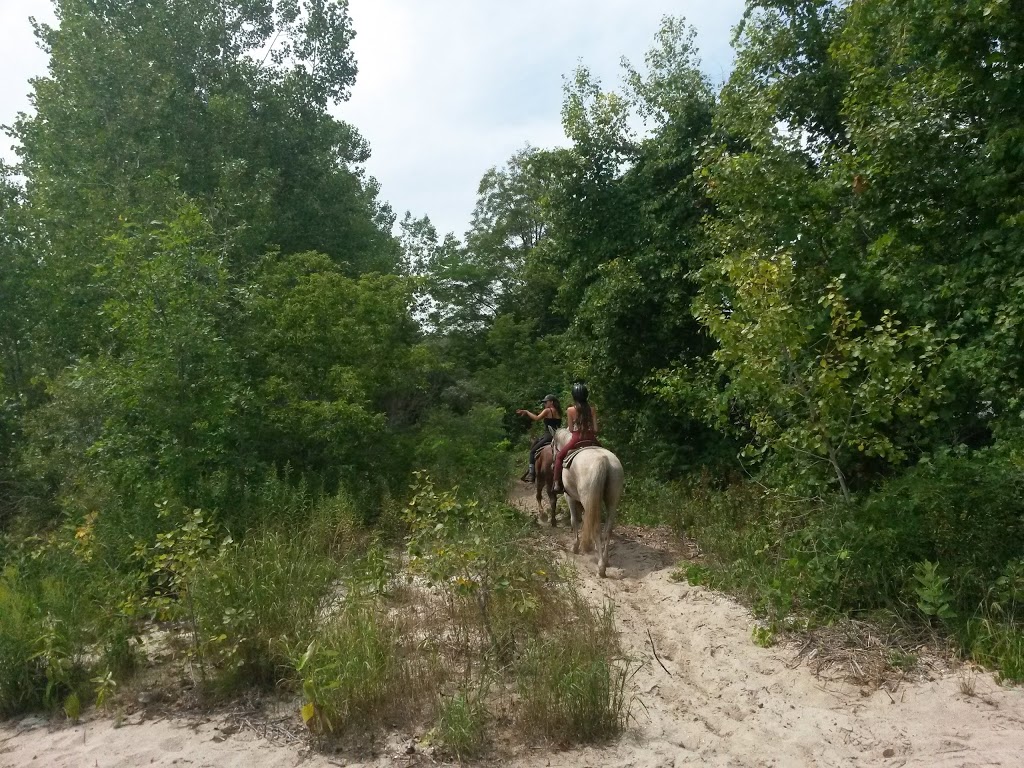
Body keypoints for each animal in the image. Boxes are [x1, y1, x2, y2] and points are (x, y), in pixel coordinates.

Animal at [552, 428, 622, 577]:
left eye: (552, 445)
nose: (553, 462)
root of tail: (604, 460)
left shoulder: (570, 497)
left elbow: (575, 520)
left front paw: (576, 546)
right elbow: (585, 519)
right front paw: (590, 545)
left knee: (596, 528)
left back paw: (601, 567)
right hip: (611, 502)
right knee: (607, 529)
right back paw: (605, 560)